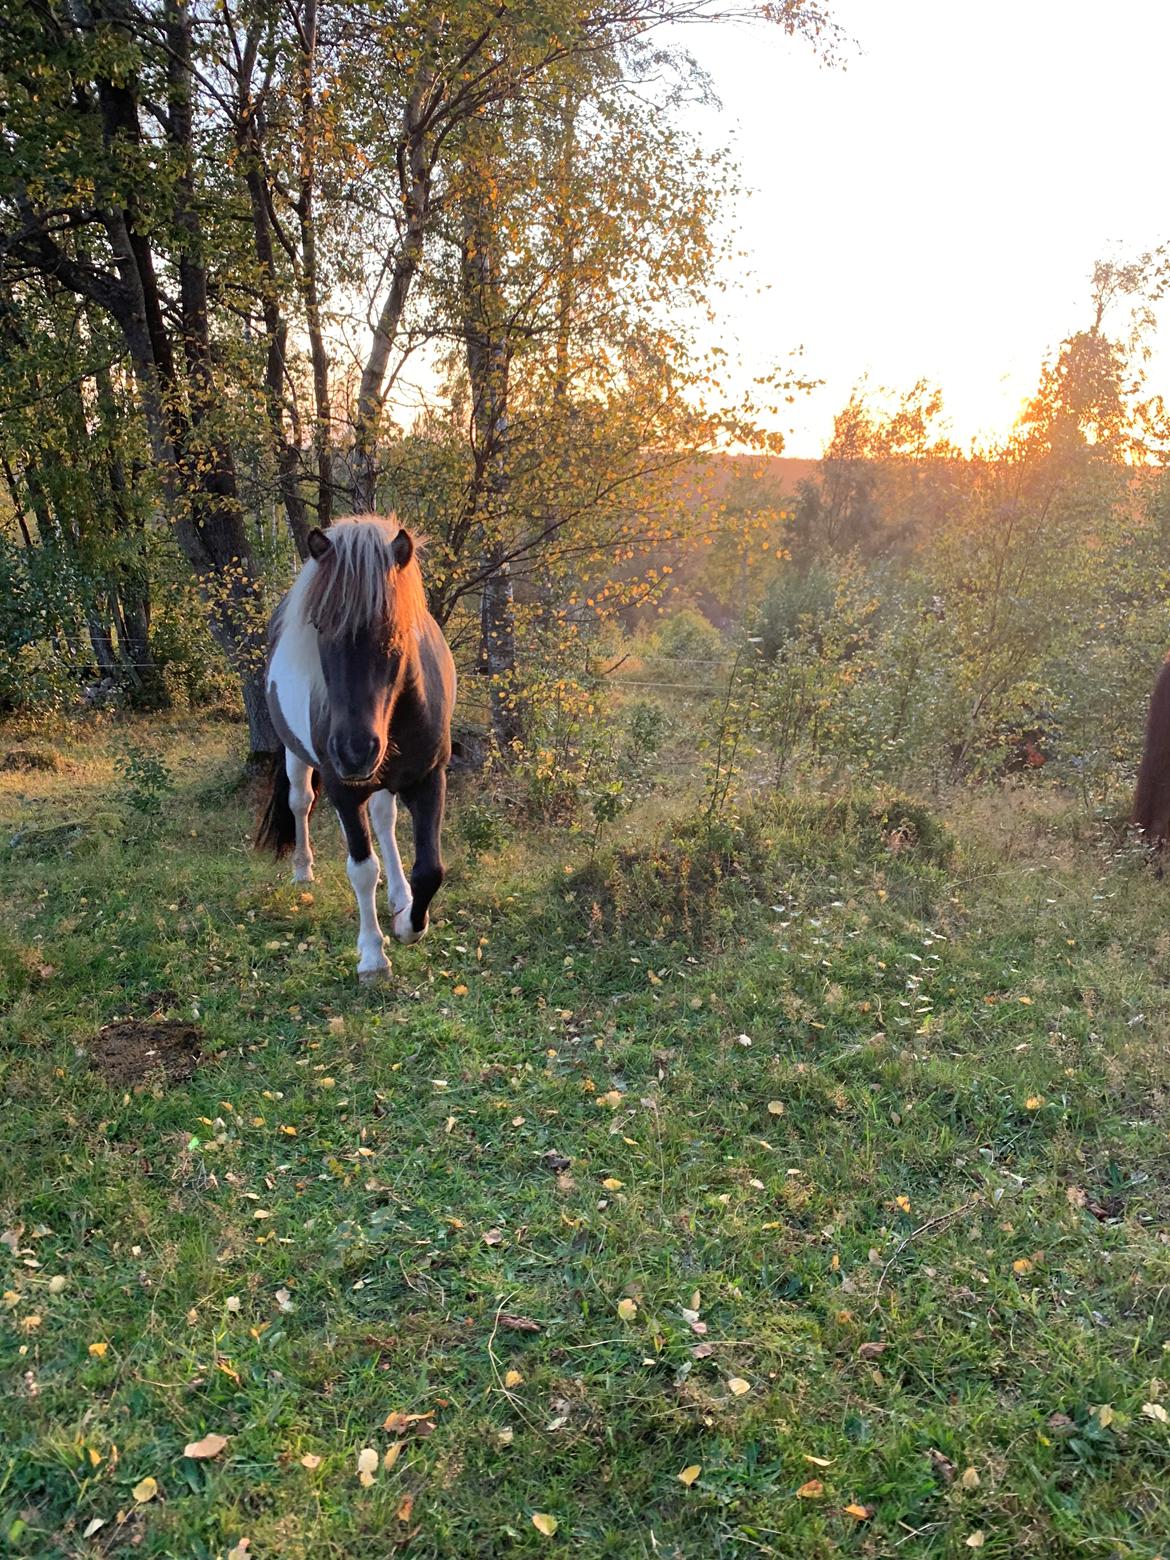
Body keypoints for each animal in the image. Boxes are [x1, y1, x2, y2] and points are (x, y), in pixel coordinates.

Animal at [255, 517, 458, 979]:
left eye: (395, 628)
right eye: (318, 626)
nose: (353, 751)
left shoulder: (429, 779)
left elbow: (430, 870)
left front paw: (408, 923)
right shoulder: (344, 790)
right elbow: (362, 870)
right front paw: (372, 956)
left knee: (384, 820)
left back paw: (399, 895)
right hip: (298, 757)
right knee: (300, 802)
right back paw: (303, 870)